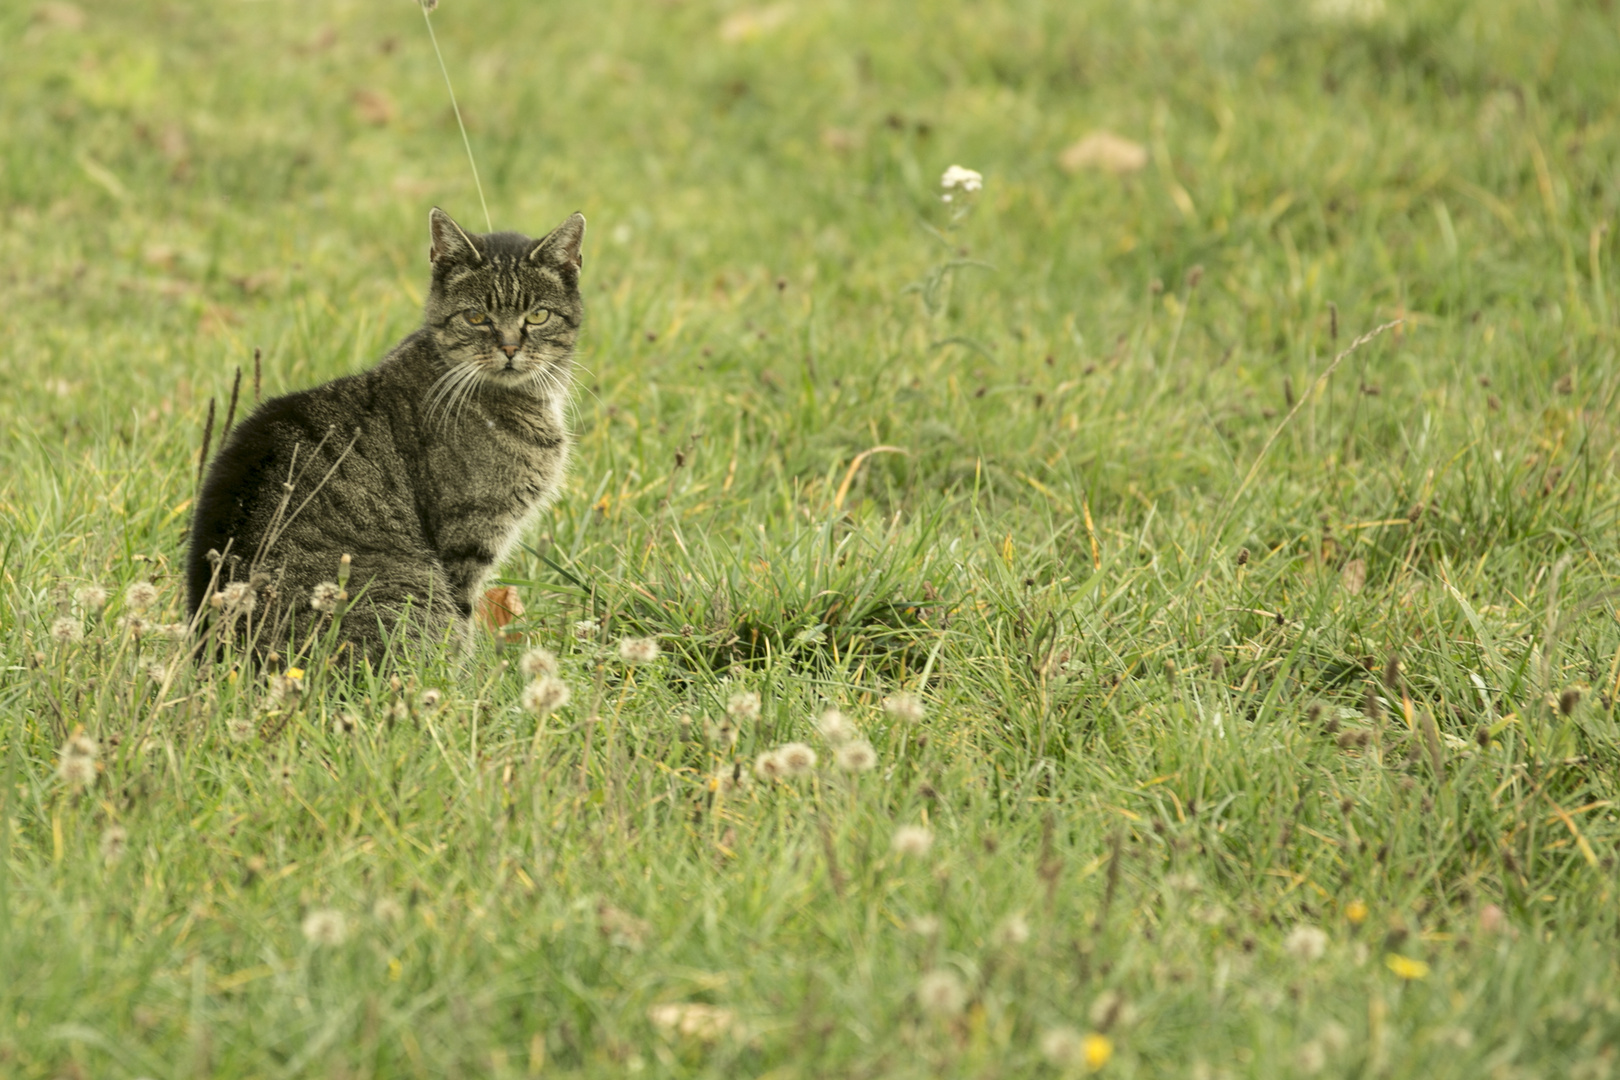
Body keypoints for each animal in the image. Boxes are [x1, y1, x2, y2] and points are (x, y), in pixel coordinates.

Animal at [187, 207, 589, 663]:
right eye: (475, 317)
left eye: (537, 316)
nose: (508, 348)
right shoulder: (467, 539)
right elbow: (462, 622)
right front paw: (462, 676)